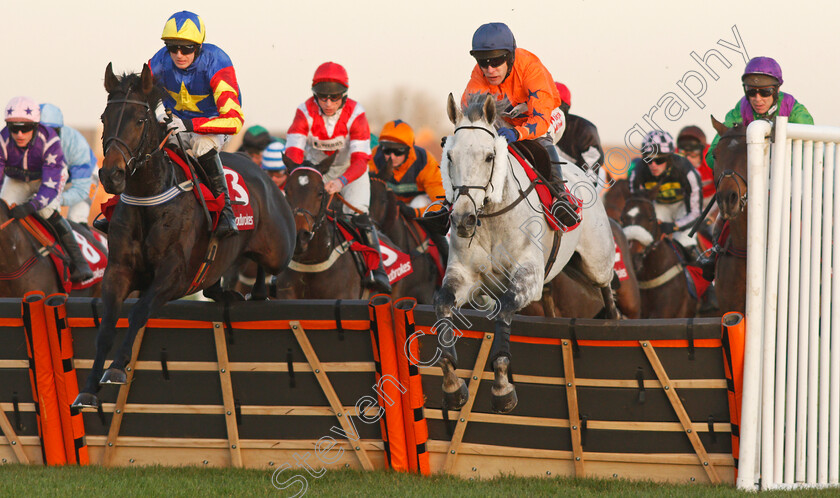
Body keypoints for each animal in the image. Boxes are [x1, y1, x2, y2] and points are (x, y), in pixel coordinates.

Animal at [73, 64, 296, 408]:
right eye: (103, 117)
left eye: (140, 120)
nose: (112, 174)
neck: (150, 197)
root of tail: (261, 173)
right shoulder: (118, 270)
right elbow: (107, 325)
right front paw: (88, 388)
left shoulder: (174, 275)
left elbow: (138, 312)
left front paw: (117, 368)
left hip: (279, 248)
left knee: (271, 265)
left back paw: (260, 289)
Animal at [436, 93, 612, 412]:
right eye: (450, 156)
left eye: (489, 156)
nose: (463, 220)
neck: (492, 217)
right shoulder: (465, 275)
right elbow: (442, 302)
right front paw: (453, 385)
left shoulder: (527, 276)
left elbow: (505, 307)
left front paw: (502, 387)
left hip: (596, 262)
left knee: (607, 286)